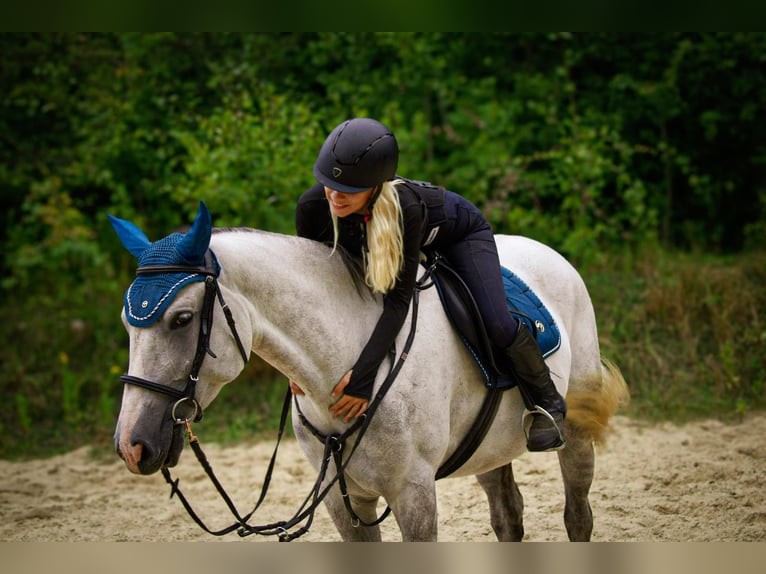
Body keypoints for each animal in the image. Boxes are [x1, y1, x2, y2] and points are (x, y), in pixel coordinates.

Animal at [111, 202, 632, 544]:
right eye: (127, 324)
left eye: (181, 319)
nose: (132, 446)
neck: (342, 361)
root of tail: (548, 254)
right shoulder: (346, 505)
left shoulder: (413, 496)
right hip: (488, 449)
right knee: (508, 515)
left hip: (574, 429)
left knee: (577, 515)